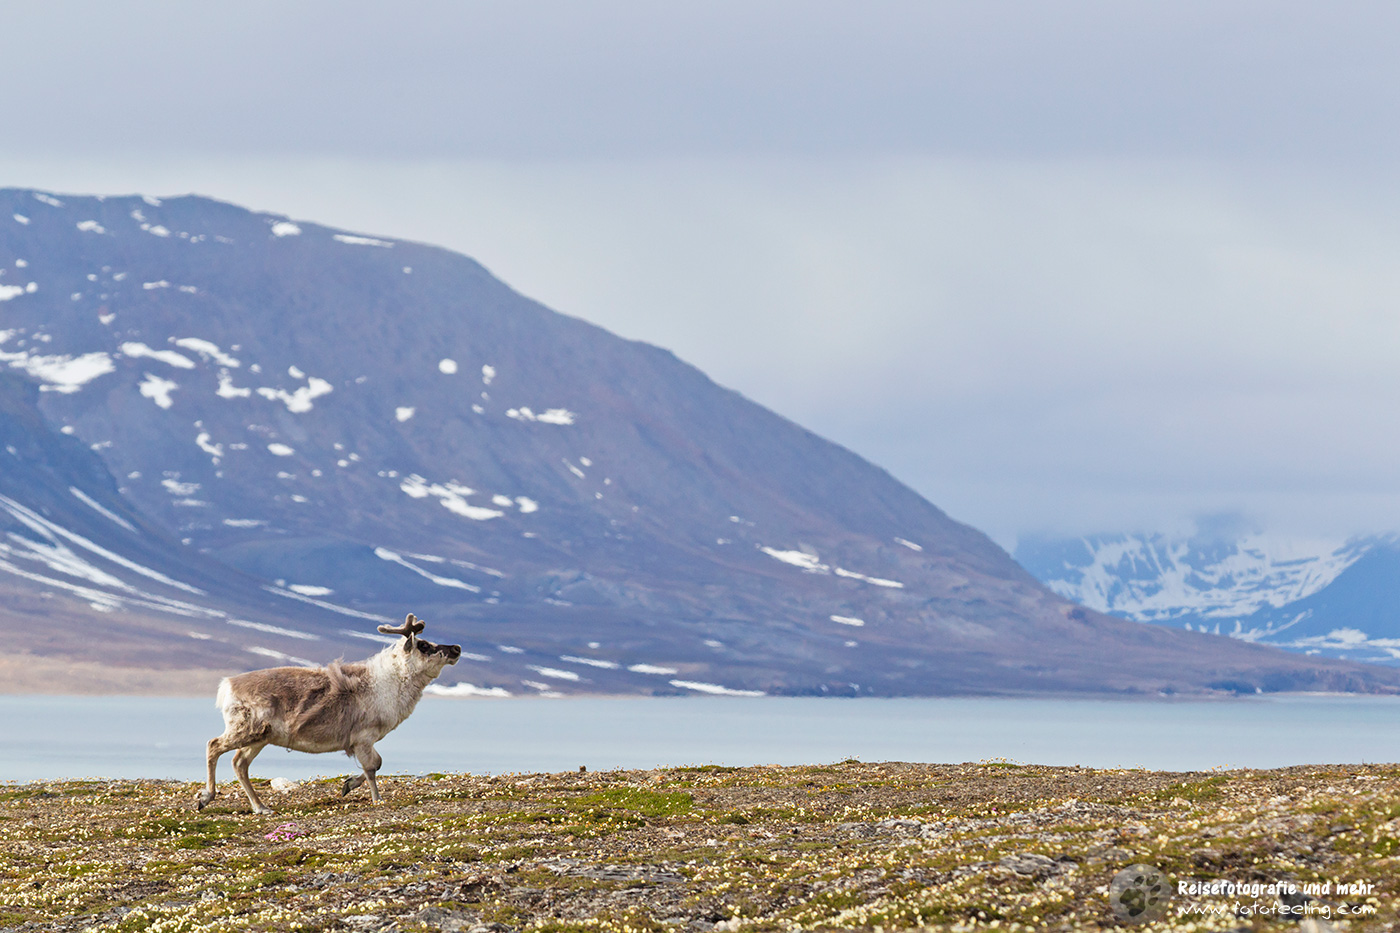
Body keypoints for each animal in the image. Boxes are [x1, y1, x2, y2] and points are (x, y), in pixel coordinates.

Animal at [195, 613, 461, 814]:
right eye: (424, 645)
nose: (457, 648)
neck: (389, 683)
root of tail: (227, 685)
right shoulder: (363, 737)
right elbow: (373, 767)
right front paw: (377, 798)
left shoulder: (362, 741)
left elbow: (377, 763)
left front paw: (348, 785)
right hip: (246, 729)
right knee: (213, 745)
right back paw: (206, 798)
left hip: (261, 737)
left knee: (239, 763)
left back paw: (261, 807)